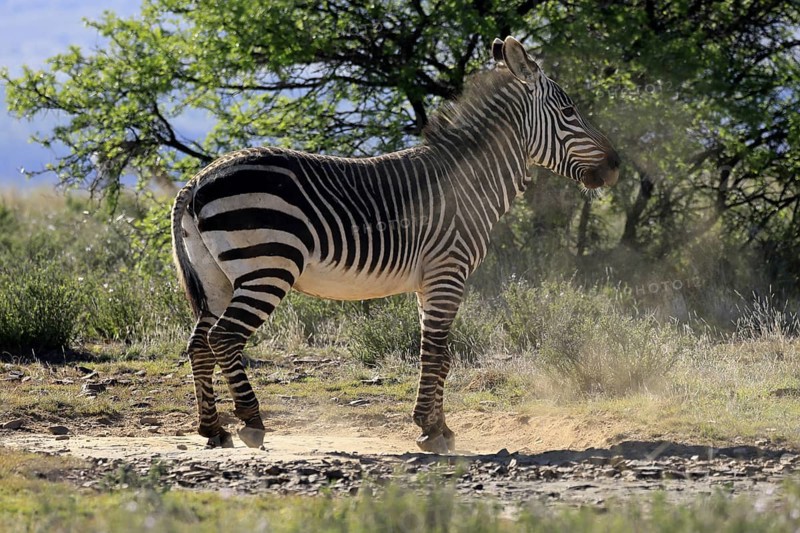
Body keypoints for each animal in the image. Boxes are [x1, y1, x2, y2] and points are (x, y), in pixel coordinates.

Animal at [171, 36, 620, 453]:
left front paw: (440, 427)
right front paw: (430, 430)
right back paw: (251, 422)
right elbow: (437, 353)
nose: (616, 166)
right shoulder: (448, 272)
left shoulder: (430, 282)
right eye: (569, 113)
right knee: (224, 338)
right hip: (267, 266)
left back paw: (213, 429)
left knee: (199, 344)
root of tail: (197, 179)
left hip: (216, 278)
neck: (469, 183)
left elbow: (436, 353)